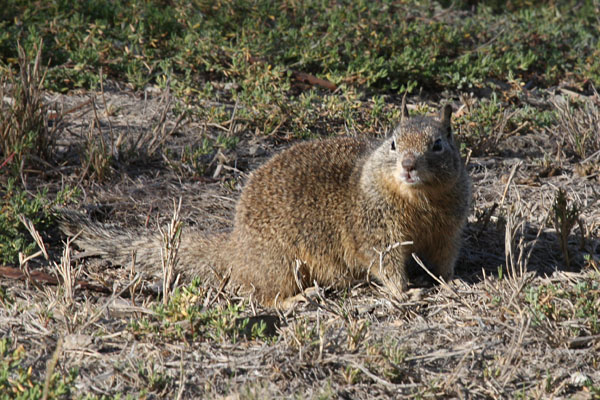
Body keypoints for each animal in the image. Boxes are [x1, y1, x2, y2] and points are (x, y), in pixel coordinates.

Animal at [61, 99, 474, 306]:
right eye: (392, 142)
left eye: (439, 144)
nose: (408, 165)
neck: (419, 200)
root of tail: (235, 246)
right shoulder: (377, 234)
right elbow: (386, 266)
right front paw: (407, 292)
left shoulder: (449, 230)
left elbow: (444, 259)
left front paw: (453, 283)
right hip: (281, 264)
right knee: (261, 297)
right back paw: (300, 299)